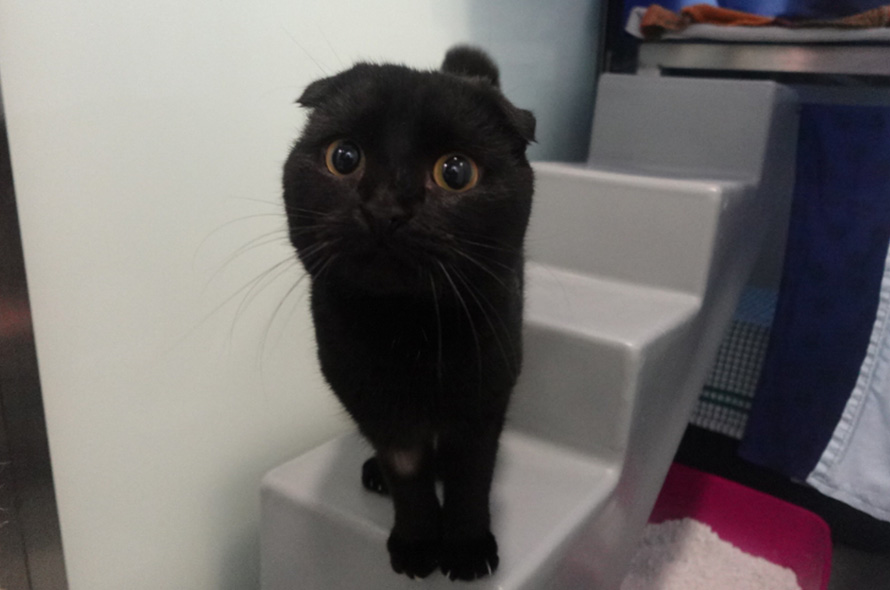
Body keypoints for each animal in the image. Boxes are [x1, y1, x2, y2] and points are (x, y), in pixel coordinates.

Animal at [280, 46, 532, 584]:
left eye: (455, 172)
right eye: (344, 157)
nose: (384, 208)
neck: (408, 330)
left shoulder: (484, 395)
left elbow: (470, 476)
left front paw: (466, 547)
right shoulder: (373, 400)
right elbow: (407, 473)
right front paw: (417, 544)